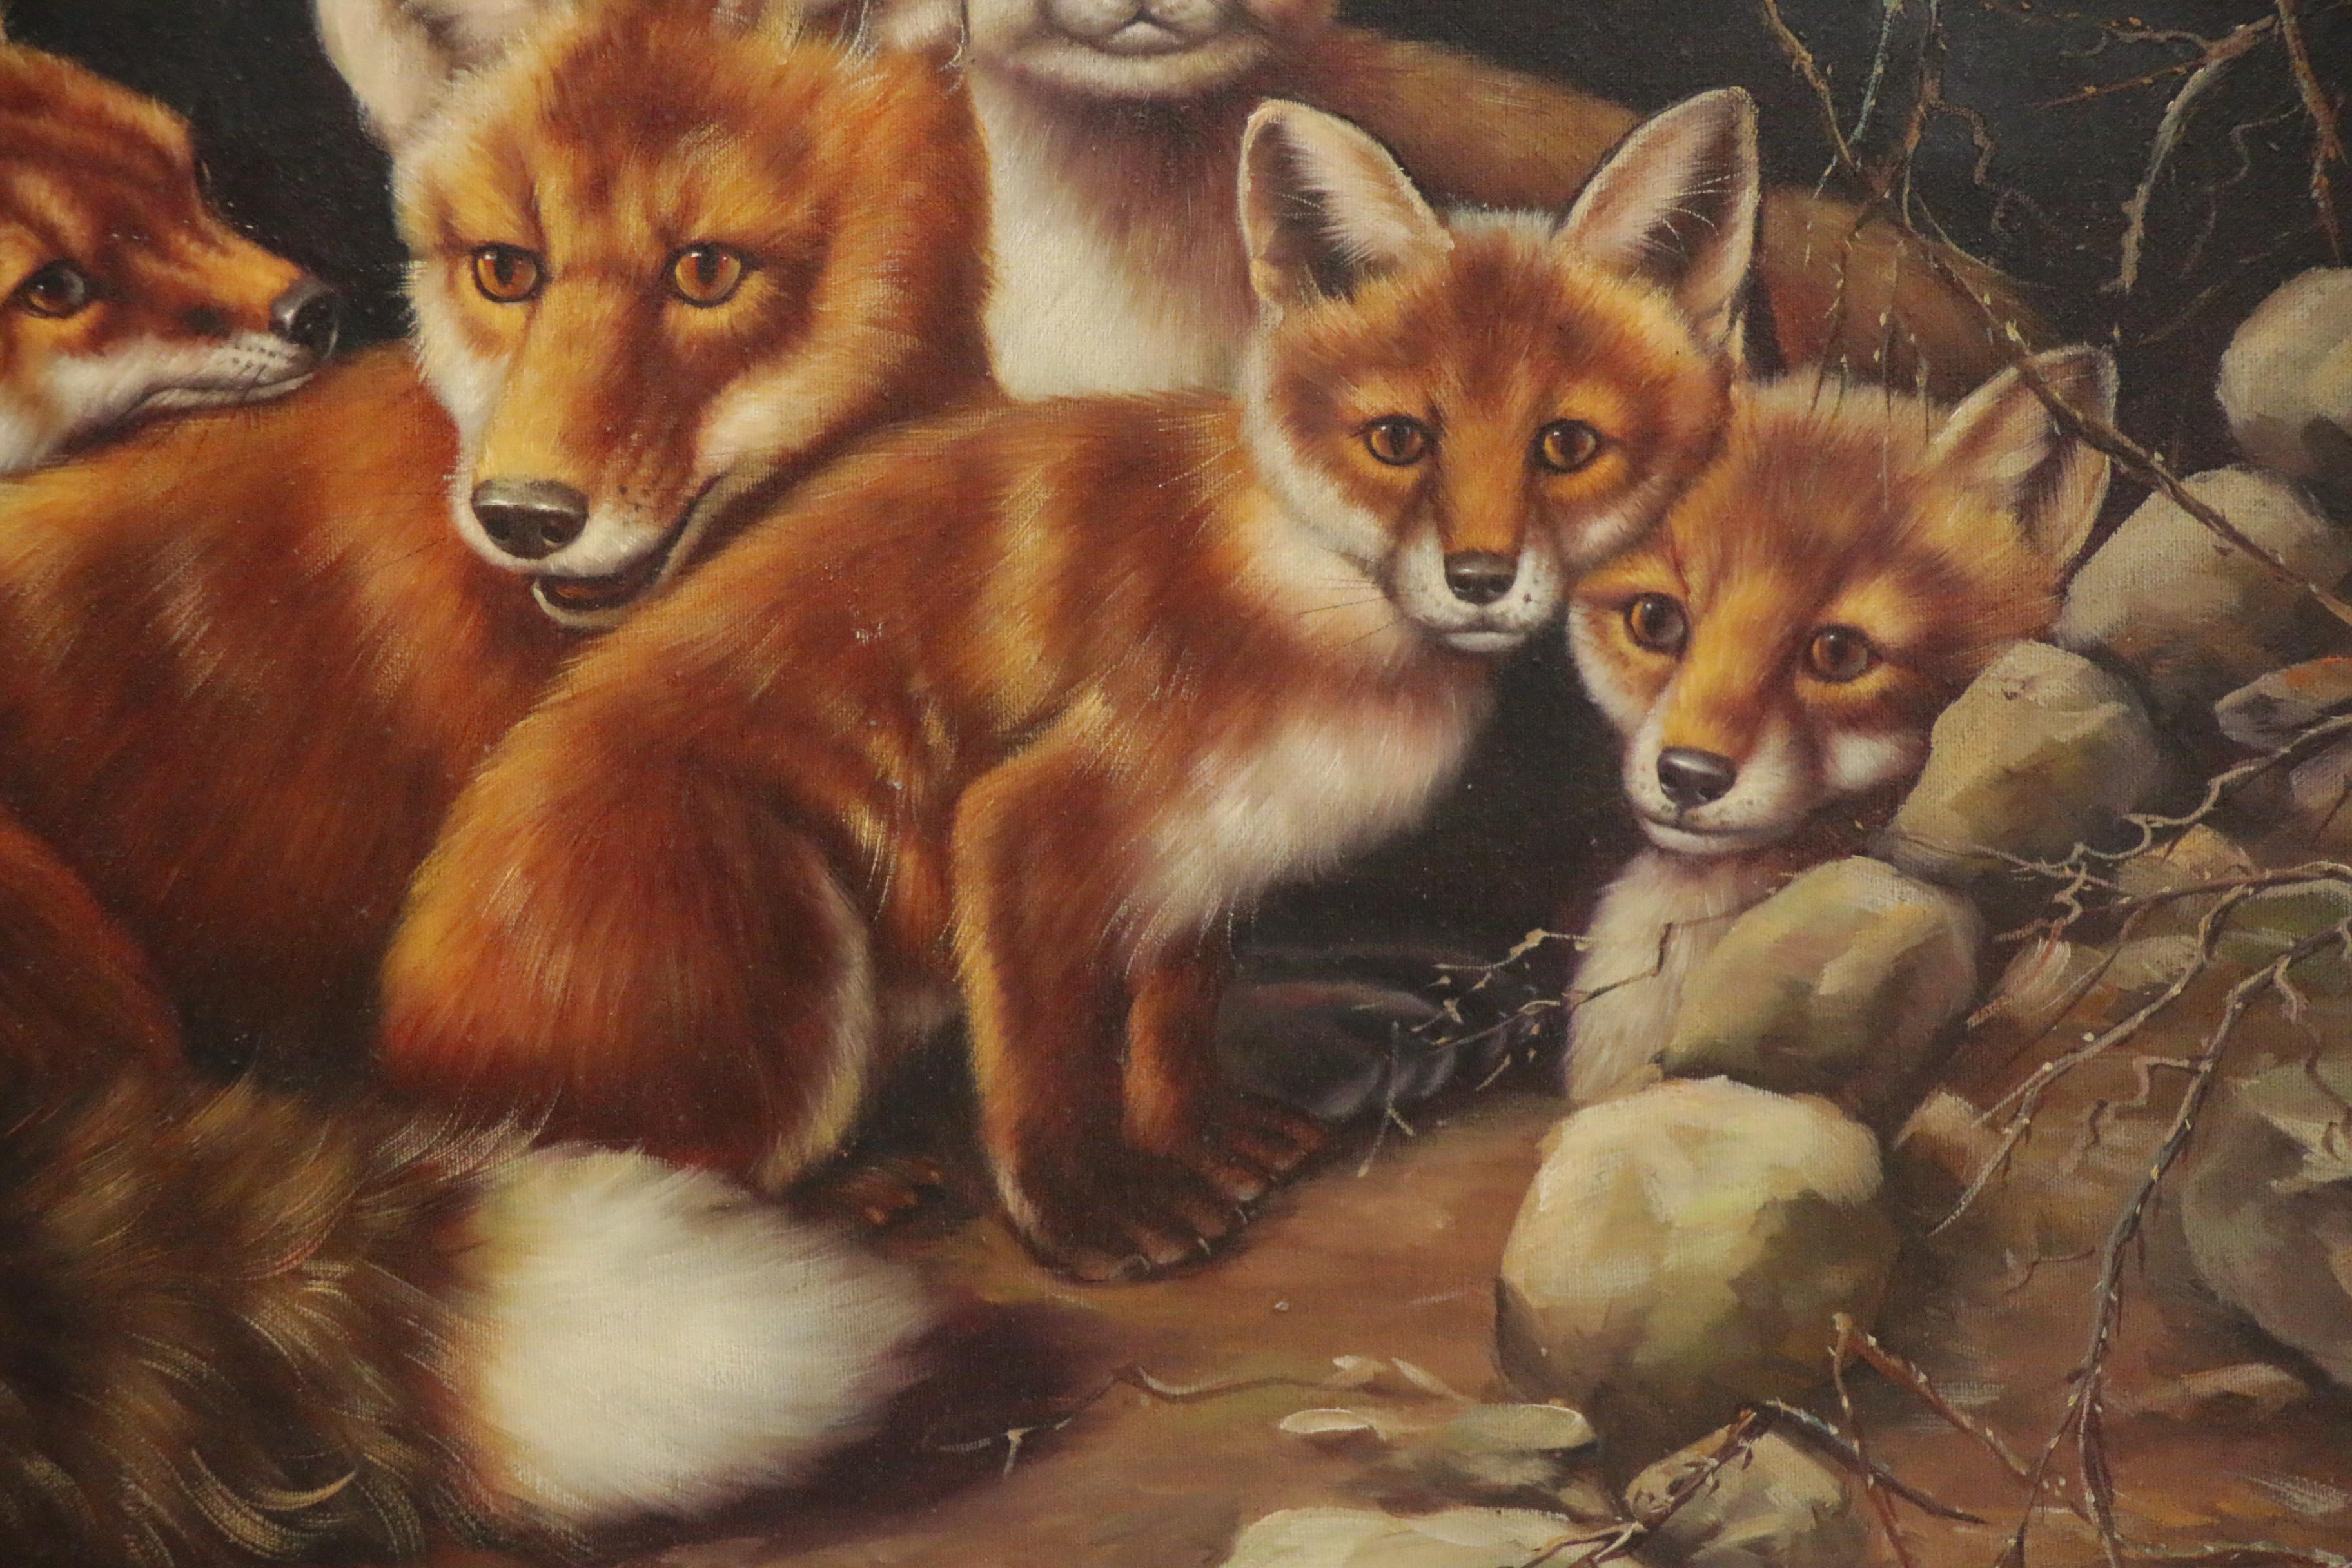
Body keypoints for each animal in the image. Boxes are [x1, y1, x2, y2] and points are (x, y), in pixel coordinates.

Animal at [376, 89, 1763, 1279]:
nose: (1480, 578)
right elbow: (1049, 1066)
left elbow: (1170, 1023)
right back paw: (843, 1188)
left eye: (1565, 445)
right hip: (789, 944)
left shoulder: (1202, 853)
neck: (1316, 623)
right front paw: (1090, 1214)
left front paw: (1200, 1132)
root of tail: (389, 1054)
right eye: (1398, 440)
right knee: (652, 1172)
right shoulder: (1033, 820)